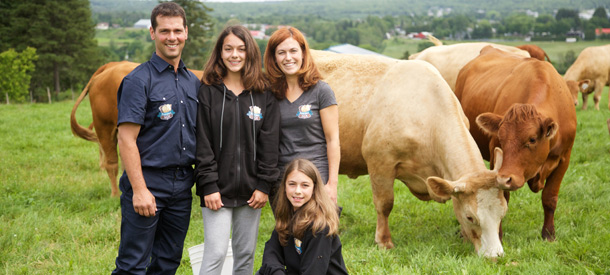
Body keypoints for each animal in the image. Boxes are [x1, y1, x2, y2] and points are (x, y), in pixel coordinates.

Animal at [308, 50, 508, 258]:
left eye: (503, 213)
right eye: (470, 217)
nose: (495, 256)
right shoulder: (380, 162)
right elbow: (384, 204)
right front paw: (384, 241)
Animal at [454, 46, 576, 243]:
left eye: (532, 139)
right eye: (501, 138)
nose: (505, 178)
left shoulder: (564, 159)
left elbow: (550, 198)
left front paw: (549, 234)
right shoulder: (497, 161)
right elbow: (502, 196)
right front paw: (498, 235)